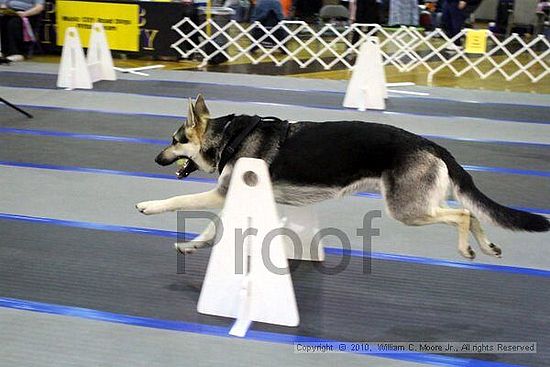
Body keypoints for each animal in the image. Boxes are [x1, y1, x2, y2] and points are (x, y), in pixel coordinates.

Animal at [136, 96, 548, 260]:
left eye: (174, 140)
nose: (155, 158)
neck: (229, 137)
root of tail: (428, 142)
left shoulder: (221, 195)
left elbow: (176, 202)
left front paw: (149, 205)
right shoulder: (236, 199)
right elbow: (212, 229)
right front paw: (193, 246)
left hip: (408, 209)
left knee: (462, 214)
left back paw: (466, 249)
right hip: (422, 202)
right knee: (474, 212)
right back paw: (487, 246)